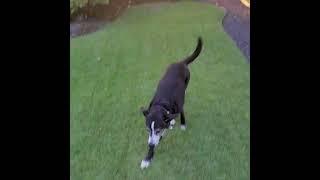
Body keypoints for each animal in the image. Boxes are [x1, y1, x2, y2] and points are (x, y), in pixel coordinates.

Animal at [139, 37, 202, 169]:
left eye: (158, 130)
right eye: (147, 130)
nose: (150, 144)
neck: (162, 104)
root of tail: (181, 62)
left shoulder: (179, 105)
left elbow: (181, 114)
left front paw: (182, 124)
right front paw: (147, 158)